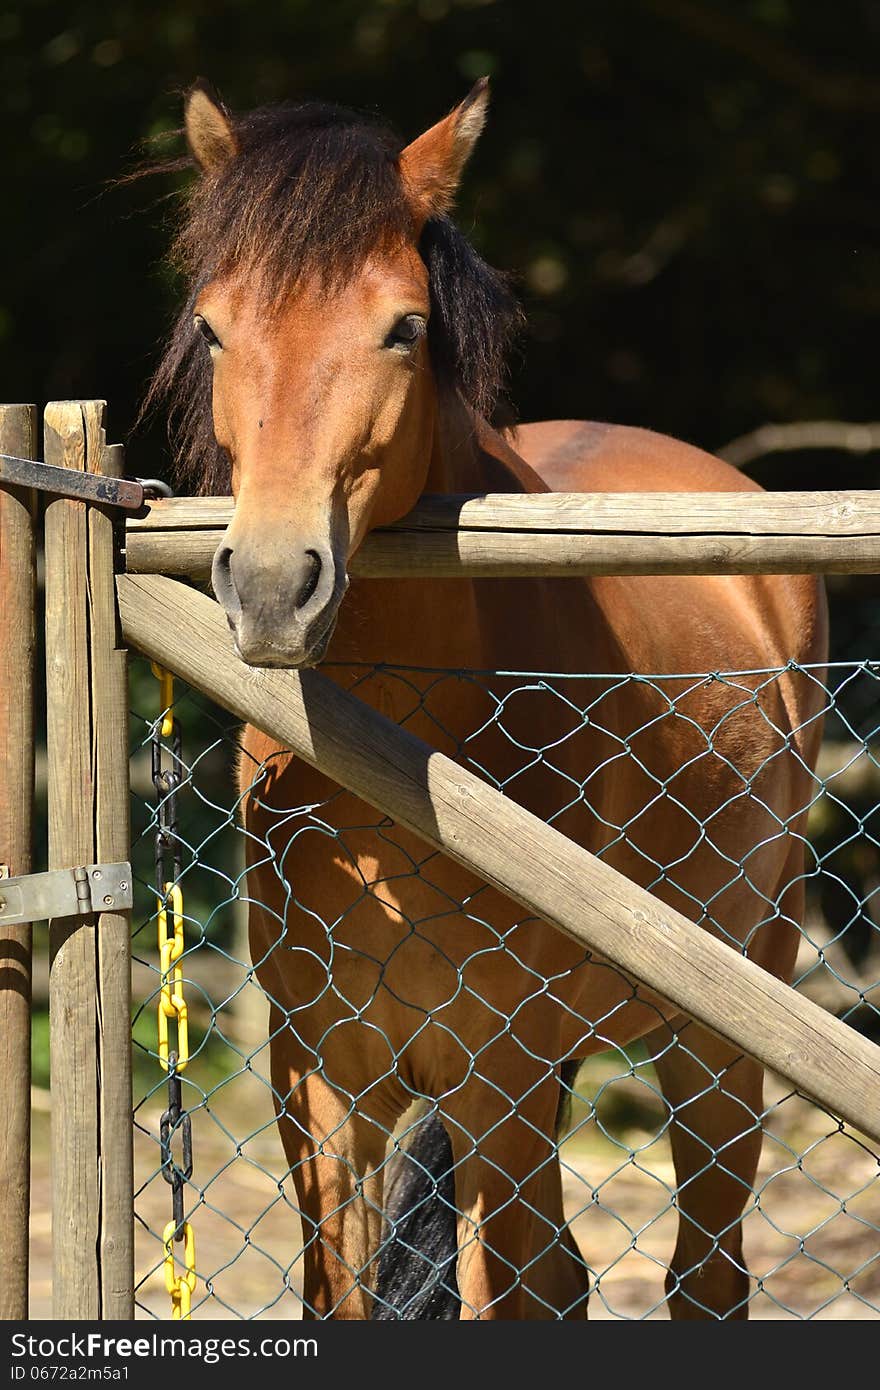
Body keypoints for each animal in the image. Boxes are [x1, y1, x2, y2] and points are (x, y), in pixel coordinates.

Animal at [147, 81, 828, 1317]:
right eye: (214, 328)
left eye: (403, 329)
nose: (270, 585)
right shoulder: (320, 1080)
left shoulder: (495, 1072)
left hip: (723, 1032)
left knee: (698, 1274)